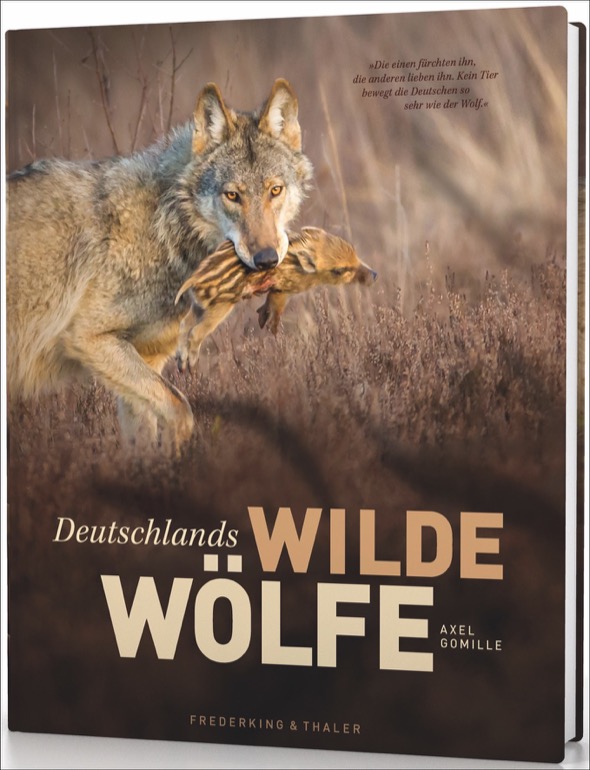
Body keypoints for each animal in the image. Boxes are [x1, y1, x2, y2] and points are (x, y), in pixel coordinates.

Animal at [6, 78, 313, 448]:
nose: (266, 259)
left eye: (275, 190)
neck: (164, 226)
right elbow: (180, 410)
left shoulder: (148, 359)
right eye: (232, 195)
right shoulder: (90, 339)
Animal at [174, 227, 377, 372]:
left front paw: (264, 319)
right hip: (221, 305)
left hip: (198, 305)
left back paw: (181, 363)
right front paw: (272, 329)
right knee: (196, 332)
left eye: (355, 253)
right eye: (340, 270)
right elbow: (277, 305)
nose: (373, 275)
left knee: (184, 325)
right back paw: (190, 366)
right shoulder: (284, 287)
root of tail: (195, 279)